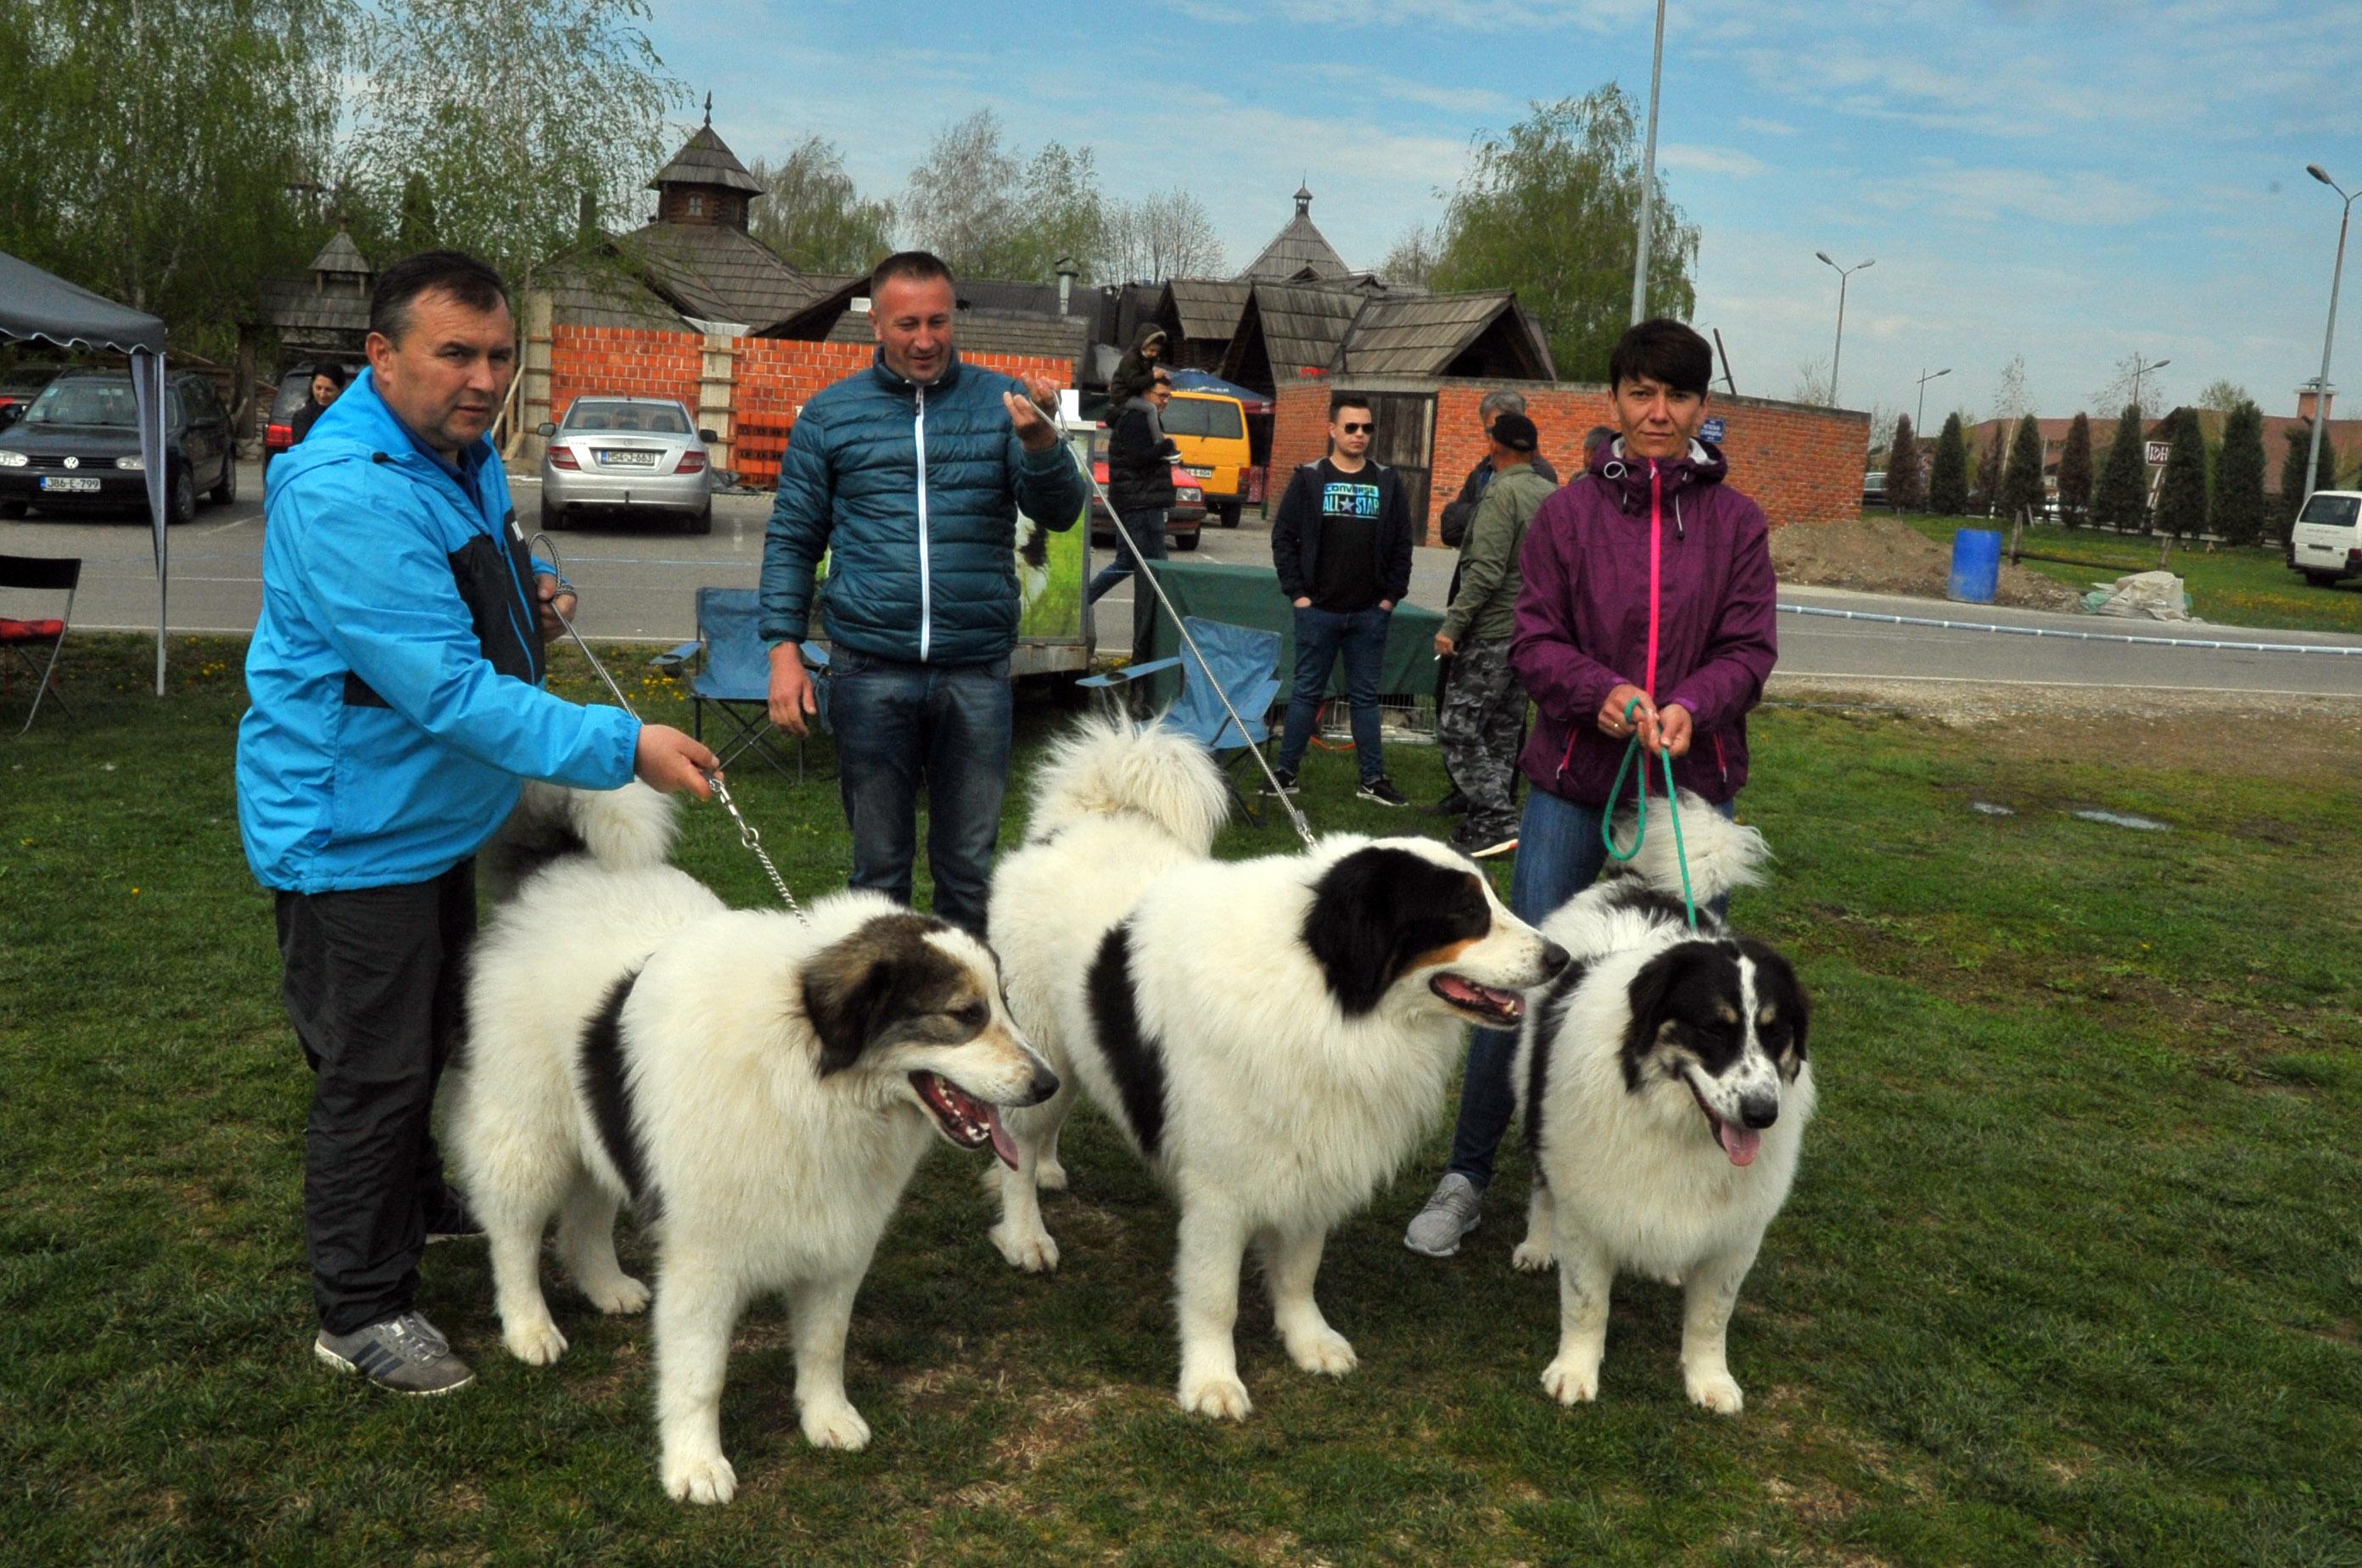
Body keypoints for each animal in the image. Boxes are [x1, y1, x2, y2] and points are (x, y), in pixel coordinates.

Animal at [446, 784, 1058, 1511]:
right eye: (965, 1016)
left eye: (1006, 1006)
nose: (1048, 1084)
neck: (803, 1073)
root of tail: (561, 871)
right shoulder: (703, 1262)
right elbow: (699, 1375)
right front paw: (694, 1464)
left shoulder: (837, 1242)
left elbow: (825, 1343)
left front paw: (826, 1417)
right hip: (527, 1131)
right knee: (512, 1233)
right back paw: (528, 1327)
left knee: (585, 1217)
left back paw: (605, 1285)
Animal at [982, 722, 1568, 1416]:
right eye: (1464, 916)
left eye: (1494, 901)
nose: (1560, 956)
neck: (1325, 992)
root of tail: (1073, 822)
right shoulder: (1219, 1188)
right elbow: (1215, 1296)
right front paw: (1211, 1379)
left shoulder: (1315, 1161)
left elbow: (1298, 1271)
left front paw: (1306, 1339)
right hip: (1040, 1041)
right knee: (1017, 1144)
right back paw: (1025, 1233)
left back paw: (1047, 1170)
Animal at [1502, 788, 1814, 1416]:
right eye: (1714, 1029)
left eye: (1776, 1034)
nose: (1762, 1115)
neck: (1674, 1120)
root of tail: (1638, 882)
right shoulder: (1588, 1209)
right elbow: (1586, 1302)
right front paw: (1575, 1371)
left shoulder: (1736, 1235)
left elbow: (1712, 1316)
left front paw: (1710, 1379)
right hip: (1534, 1100)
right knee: (1543, 1185)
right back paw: (1538, 1243)